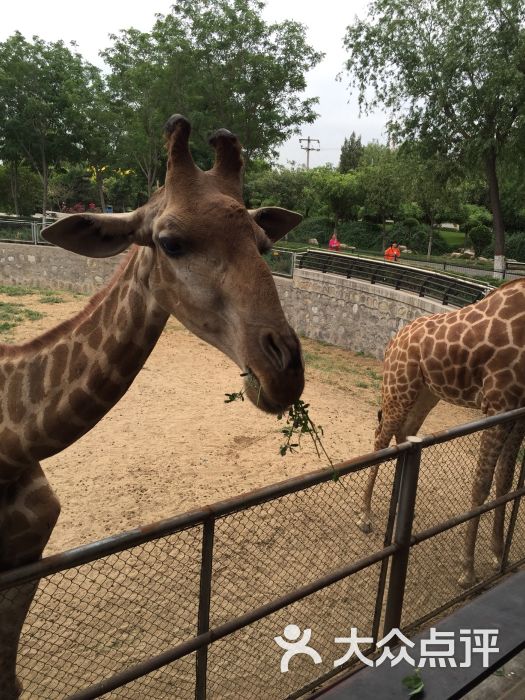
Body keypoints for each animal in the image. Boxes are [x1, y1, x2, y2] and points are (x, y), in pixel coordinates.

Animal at [354, 282, 524, 588]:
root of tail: (392, 341)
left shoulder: (519, 411)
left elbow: (505, 481)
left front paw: (498, 555)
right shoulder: (499, 403)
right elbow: (482, 484)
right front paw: (468, 571)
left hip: (426, 393)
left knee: (405, 433)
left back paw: (400, 511)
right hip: (398, 387)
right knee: (381, 438)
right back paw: (365, 516)